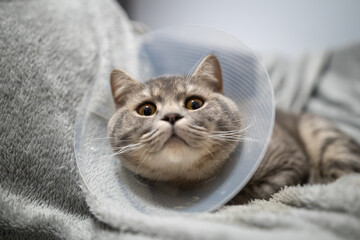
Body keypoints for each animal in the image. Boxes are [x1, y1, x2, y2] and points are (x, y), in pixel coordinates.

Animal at [107, 54, 360, 204]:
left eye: (194, 104)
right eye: (146, 109)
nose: (171, 116)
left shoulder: (290, 162)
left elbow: (258, 191)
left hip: (325, 137)